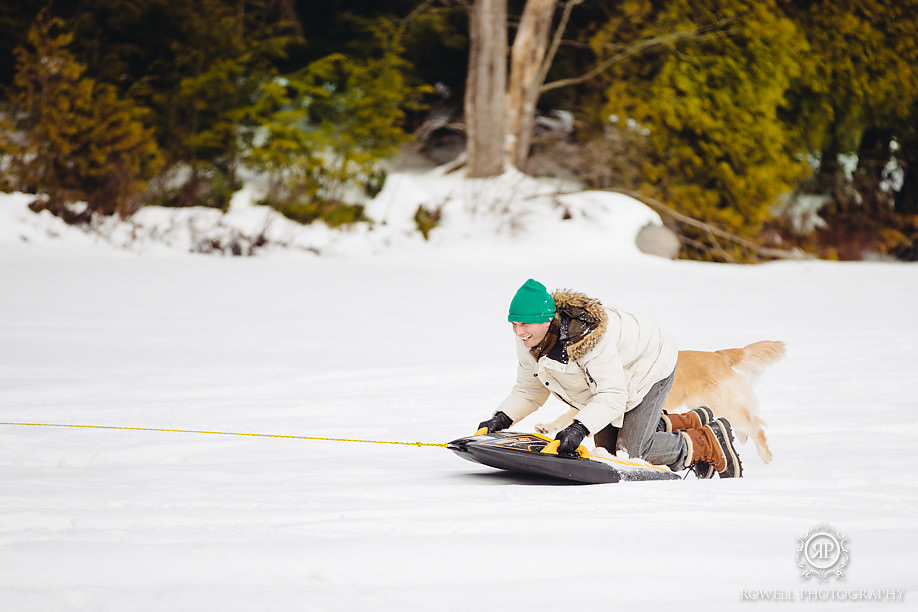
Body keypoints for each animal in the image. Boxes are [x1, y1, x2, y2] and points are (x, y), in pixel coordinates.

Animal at [536, 340, 788, 464]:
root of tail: (719, 354)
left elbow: (572, 416)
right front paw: (547, 427)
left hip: (722, 400)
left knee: (755, 423)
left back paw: (765, 455)